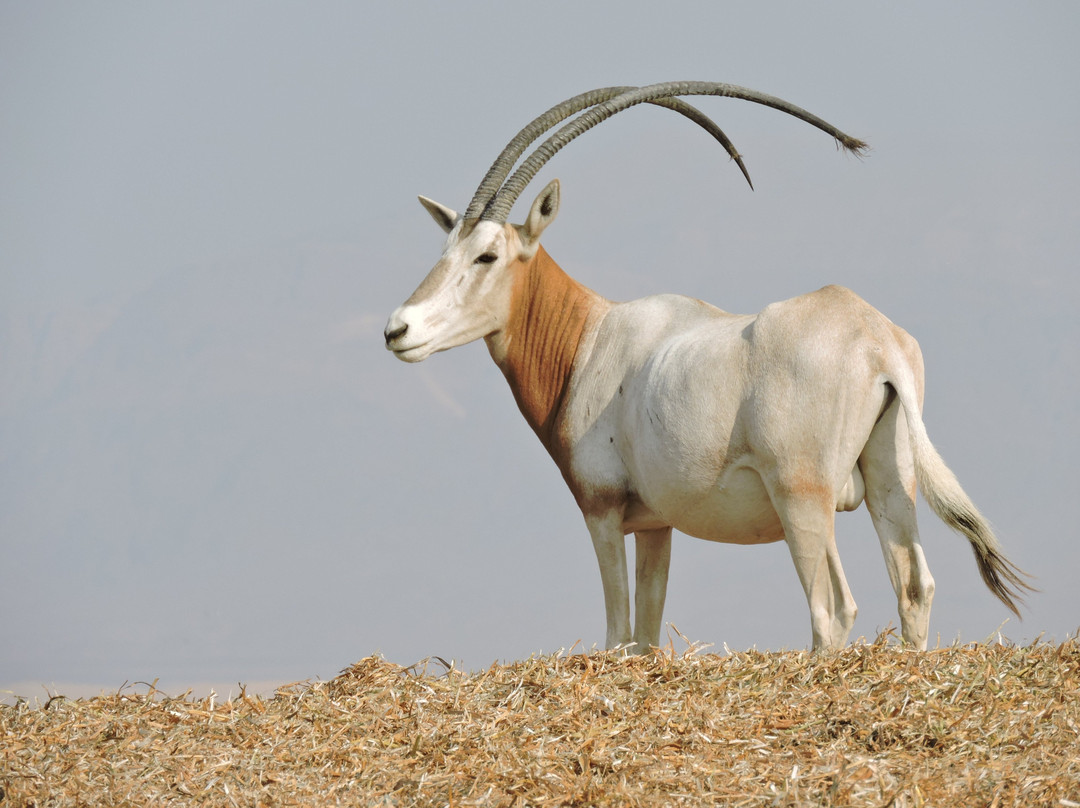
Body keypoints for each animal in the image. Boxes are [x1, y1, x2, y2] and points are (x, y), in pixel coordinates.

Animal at [384, 82, 1031, 651]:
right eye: (446, 250)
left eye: (487, 255)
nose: (398, 329)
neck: (589, 339)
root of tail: (876, 341)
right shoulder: (655, 525)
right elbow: (646, 638)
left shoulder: (602, 512)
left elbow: (618, 635)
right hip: (890, 486)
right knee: (914, 589)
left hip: (803, 499)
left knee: (832, 609)